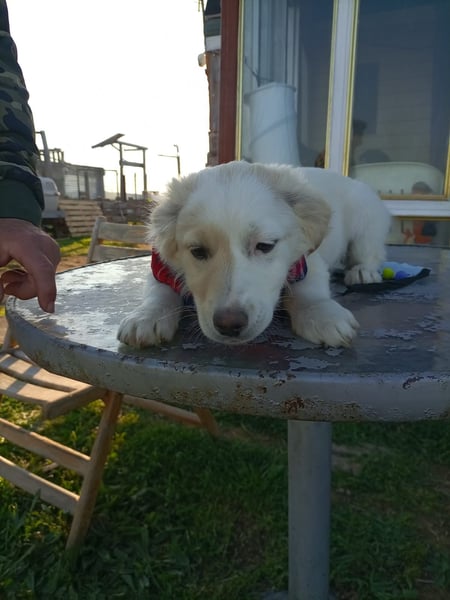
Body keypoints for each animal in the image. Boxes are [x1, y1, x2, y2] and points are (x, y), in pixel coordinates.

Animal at [117, 161, 391, 348]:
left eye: (265, 246)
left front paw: (323, 315)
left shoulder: (307, 259)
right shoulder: (161, 265)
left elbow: (309, 291)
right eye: (197, 251)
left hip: (367, 216)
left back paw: (363, 272)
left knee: (369, 249)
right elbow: (157, 292)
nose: (229, 325)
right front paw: (146, 317)